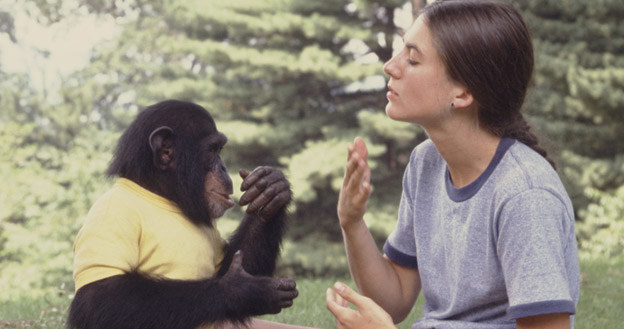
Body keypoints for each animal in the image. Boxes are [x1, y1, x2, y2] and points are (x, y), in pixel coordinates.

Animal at [67, 100, 308, 328]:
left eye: (220, 150)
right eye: (212, 150)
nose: (223, 167)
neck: (161, 195)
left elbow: (228, 267)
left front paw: (271, 187)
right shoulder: (109, 217)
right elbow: (102, 299)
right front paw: (244, 290)